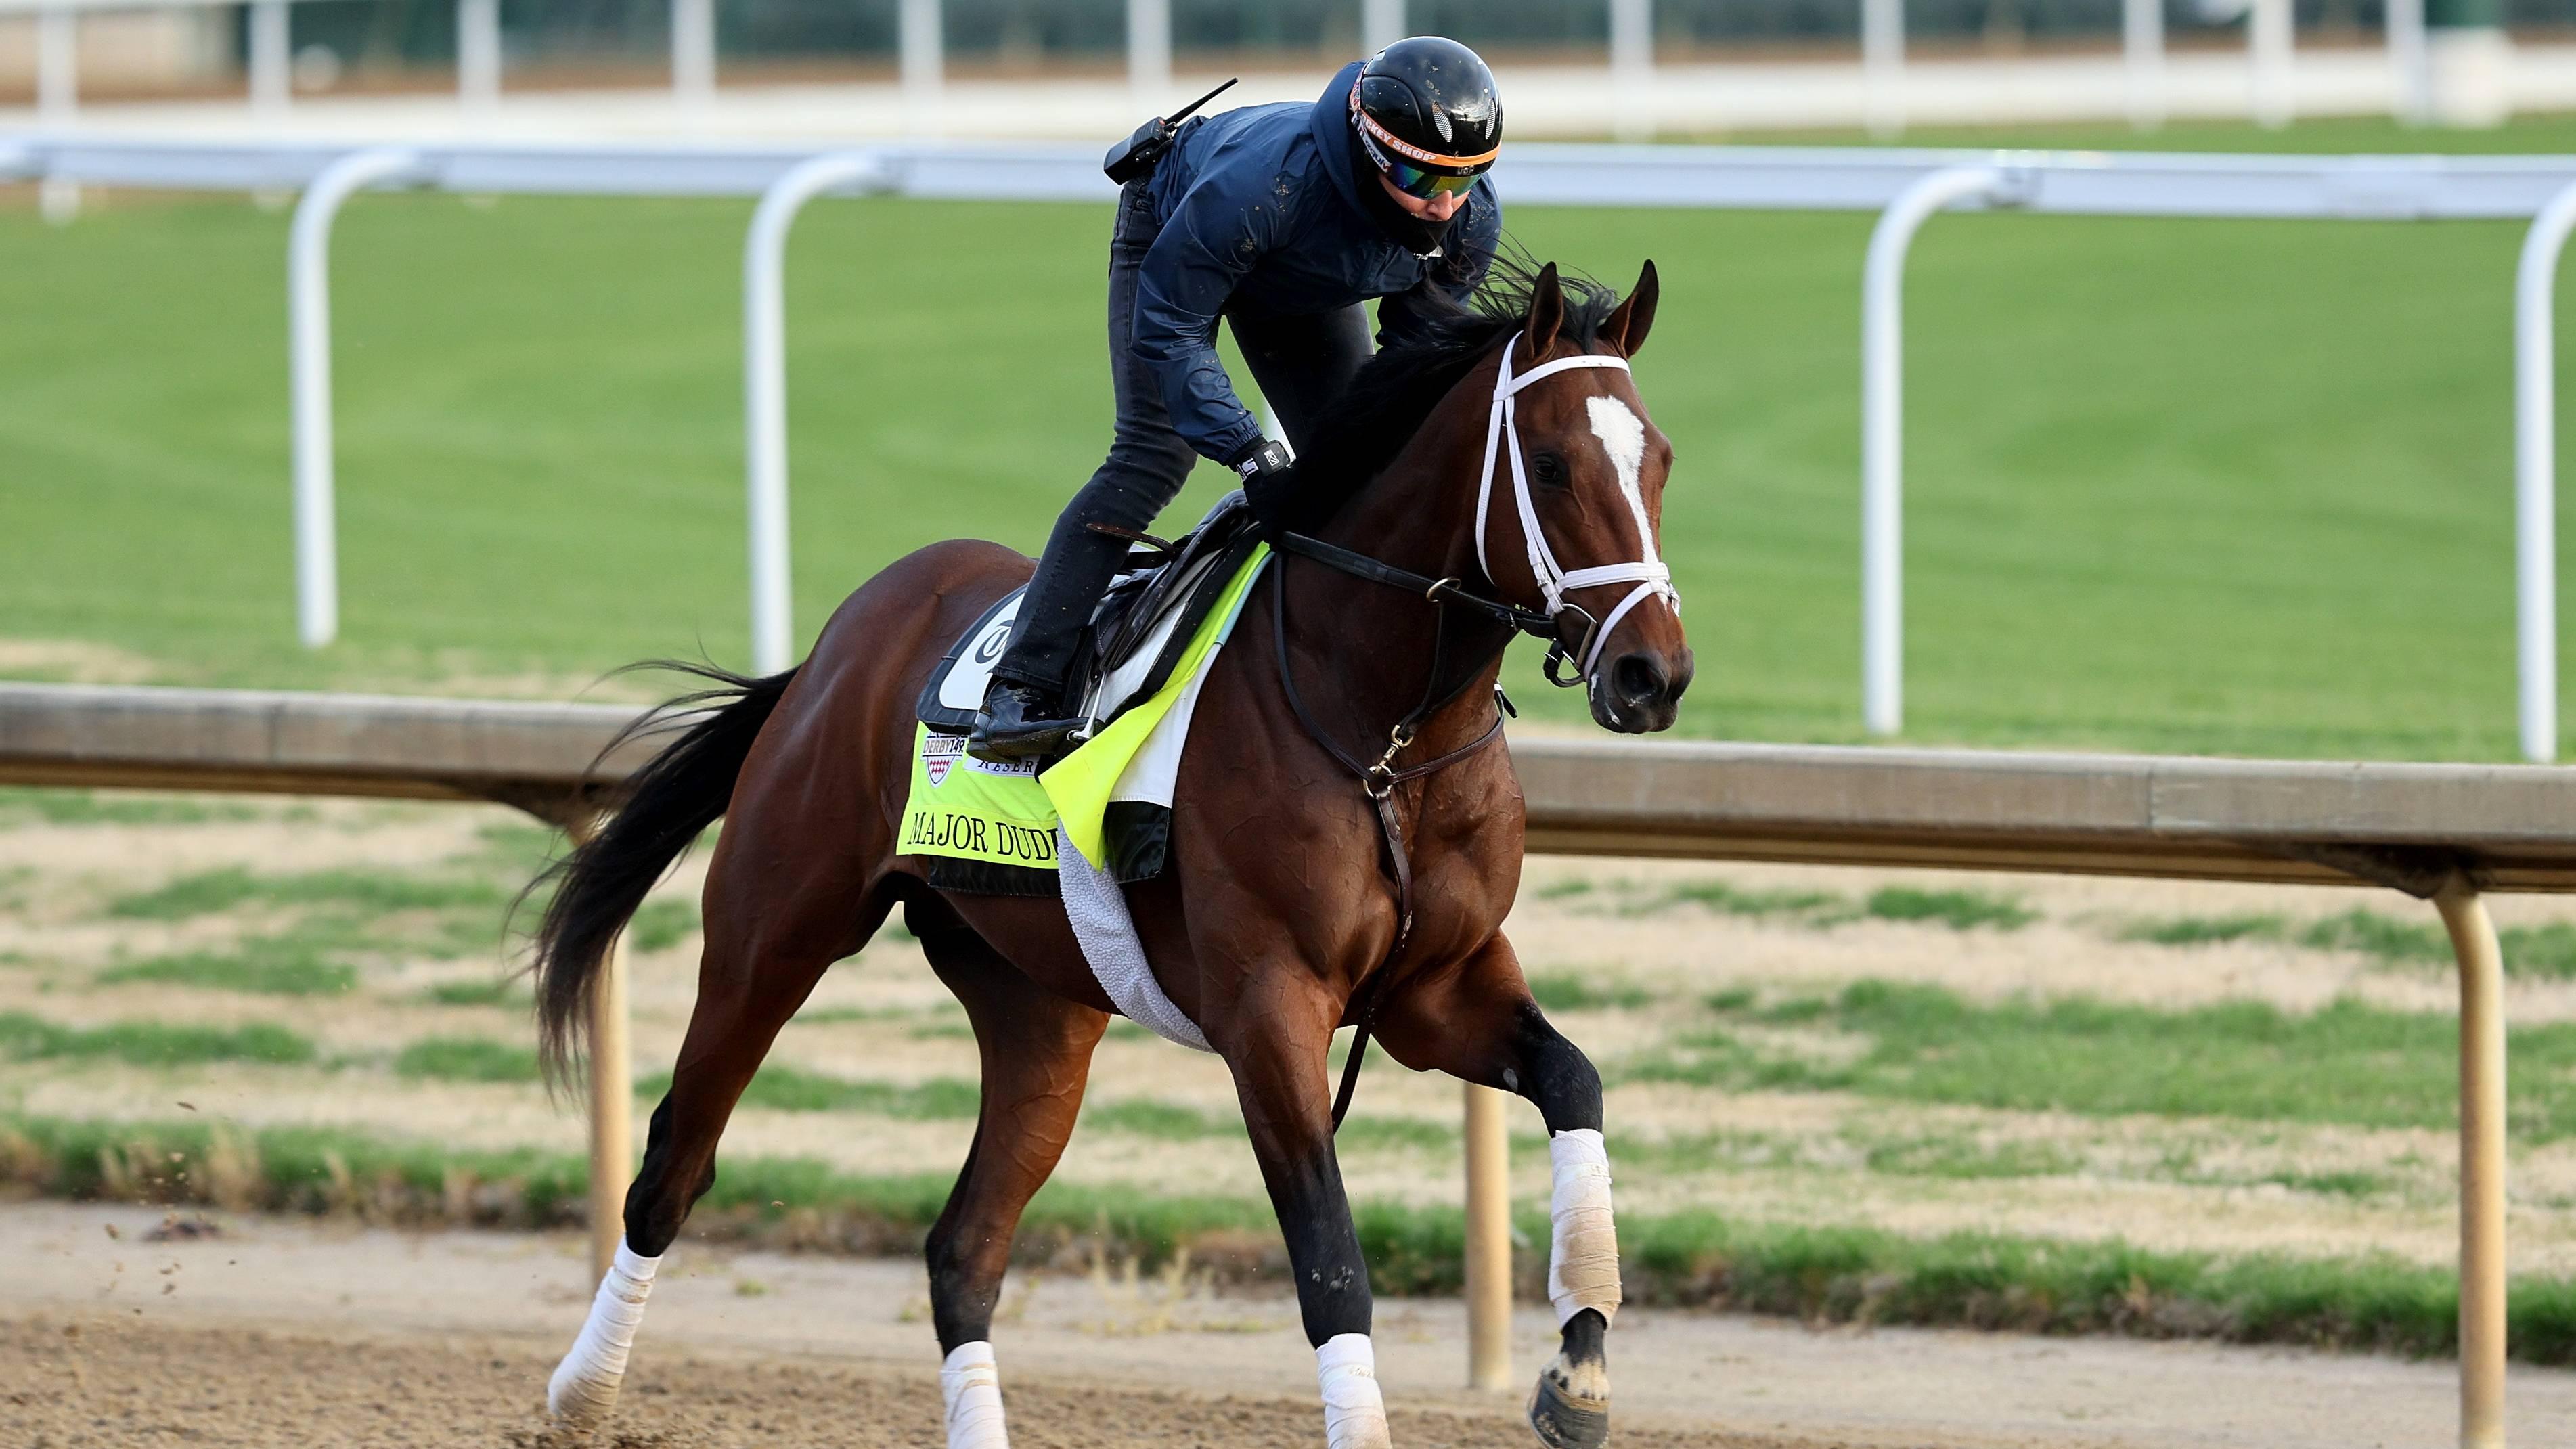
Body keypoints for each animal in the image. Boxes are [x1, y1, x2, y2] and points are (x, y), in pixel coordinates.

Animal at [528, 261, 1689, 1449]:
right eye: (1549, 464)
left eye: (1657, 457)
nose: (1653, 674)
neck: (1381, 732)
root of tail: (831, 649)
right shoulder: (1268, 1005)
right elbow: (1330, 1266)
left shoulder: (1434, 985)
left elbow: (1574, 1079)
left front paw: (1579, 1368)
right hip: (771, 934)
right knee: (674, 1165)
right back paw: (582, 1393)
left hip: (1038, 1007)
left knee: (963, 1248)